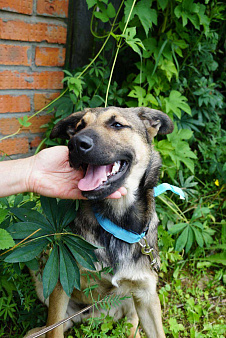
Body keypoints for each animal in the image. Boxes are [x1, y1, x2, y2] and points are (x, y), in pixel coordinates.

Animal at [27, 106, 174, 338]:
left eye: (117, 124)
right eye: (79, 126)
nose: (74, 144)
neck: (117, 222)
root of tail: (94, 316)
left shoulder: (147, 294)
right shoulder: (61, 283)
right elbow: (54, 329)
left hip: (134, 302)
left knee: (132, 322)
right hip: (43, 284)